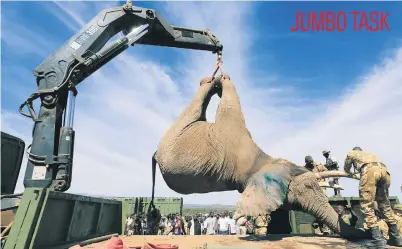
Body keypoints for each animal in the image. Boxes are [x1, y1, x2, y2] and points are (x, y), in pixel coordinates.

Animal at [150, 73, 368, 237]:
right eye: (307, 187)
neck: (264, 159)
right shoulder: (231, 133)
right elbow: (230, 106)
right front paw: (223, 79)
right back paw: (211, 80)